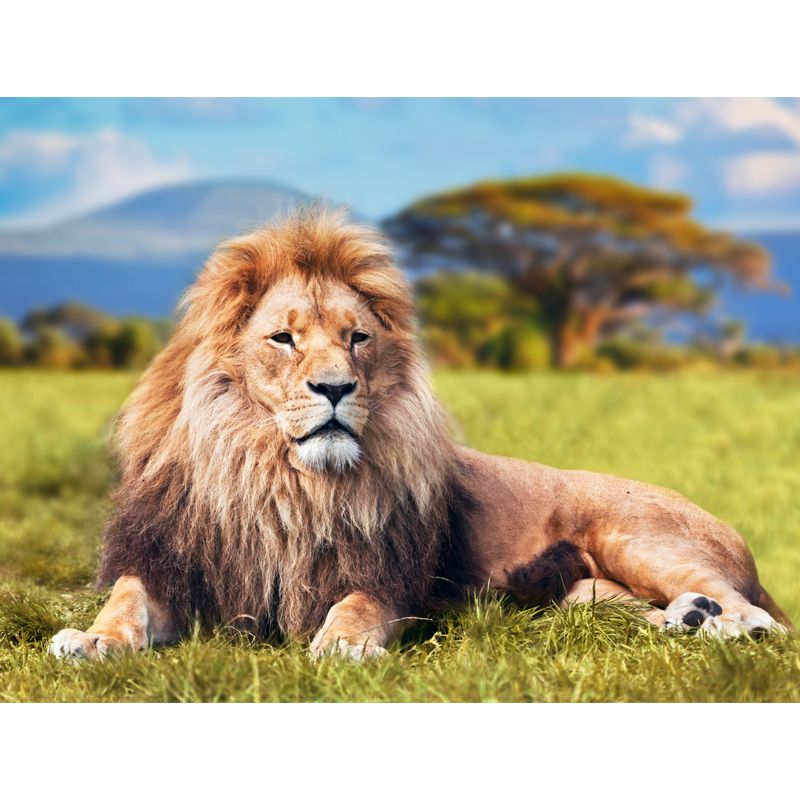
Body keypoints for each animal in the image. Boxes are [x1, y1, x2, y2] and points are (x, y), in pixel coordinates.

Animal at [50, 208, 791, 661]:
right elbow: (125, 601)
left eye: (357, 339)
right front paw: (90, 641)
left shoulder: (388, 577)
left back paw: (725, 623)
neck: (279, 479)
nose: (335, 389)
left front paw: (342, 645)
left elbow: (355, 605)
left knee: (760, 617)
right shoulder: (173, 561)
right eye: (284, 339)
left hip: (636, 537)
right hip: (583, 594)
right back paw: (688, 619)